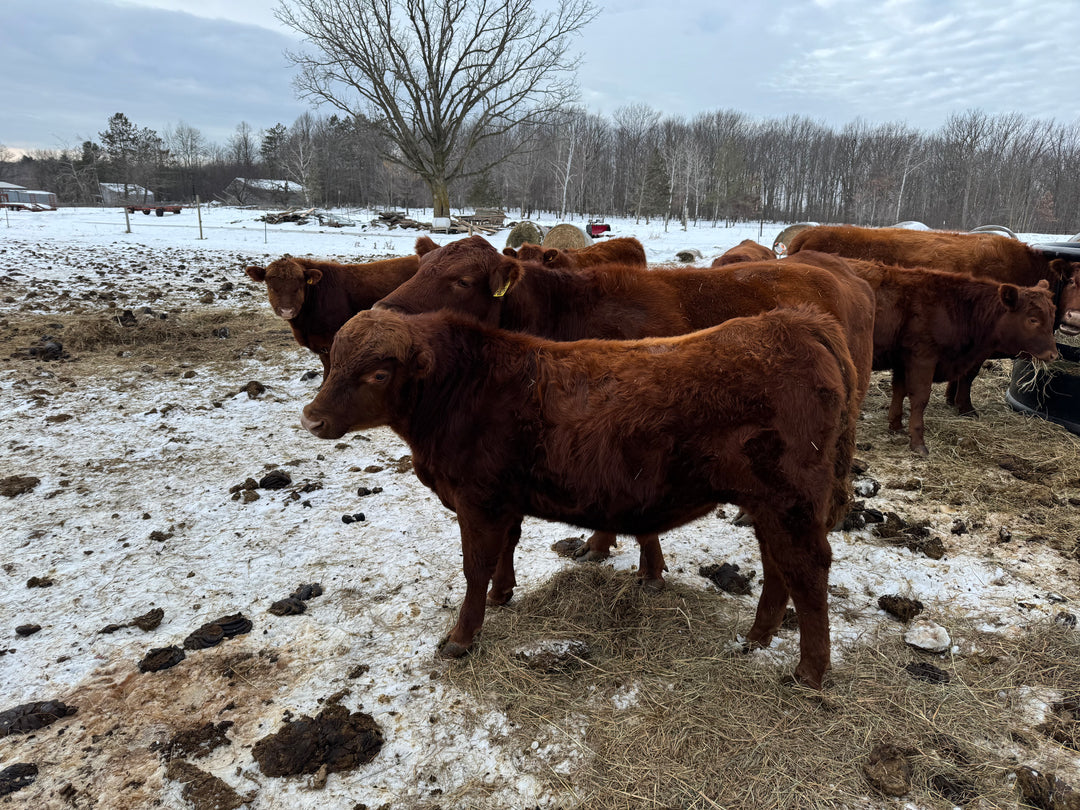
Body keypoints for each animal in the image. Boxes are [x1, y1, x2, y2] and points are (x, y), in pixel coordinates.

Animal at [301, 305, 859, 689]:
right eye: (332, 362)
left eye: (377, 373)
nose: (312, 418)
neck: (466, 387)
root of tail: (793, 322)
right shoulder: (504, 501)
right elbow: (506, 549)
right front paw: (503, 594)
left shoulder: (477, 501)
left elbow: (475, 566)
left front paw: (461, 638)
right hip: (768, 505)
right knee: (778, 567)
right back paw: (757, 637)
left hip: (791, 504)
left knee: (807, 571)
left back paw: (809, 672)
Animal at [787, 224, 1077, 414]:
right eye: (1074, 280)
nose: (1074, 316)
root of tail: (809, 232)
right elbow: (969, 375)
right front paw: (965, 407)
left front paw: (951, 399)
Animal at [850, 261, 1058, 454]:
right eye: (1033, 319)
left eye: (1051, 317)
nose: (1053, 354)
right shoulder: (922, 358)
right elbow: (920, 398)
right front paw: (918, 442)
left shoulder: (902, 360)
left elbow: (899, 391)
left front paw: (896, 426)